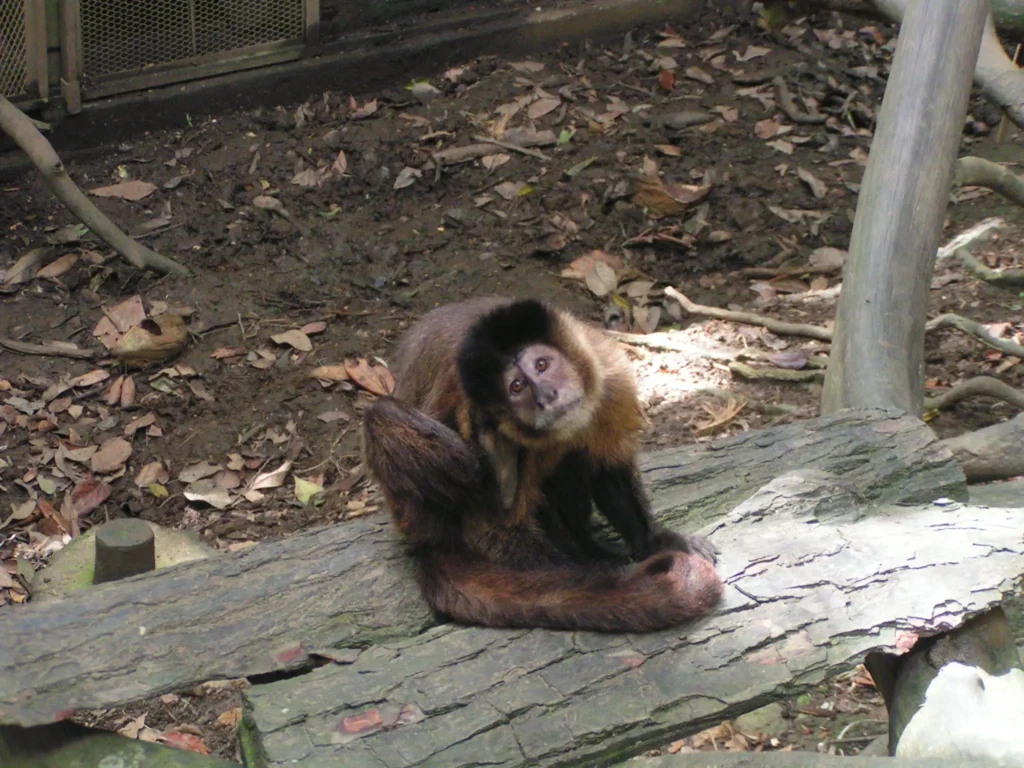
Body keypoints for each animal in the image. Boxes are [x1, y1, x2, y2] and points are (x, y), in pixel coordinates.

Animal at [361, 297, 723, 632]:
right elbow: (496, 531)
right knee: (380, 414)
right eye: (517, 387)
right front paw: (592, 576)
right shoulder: (478, 413)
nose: (546, 395)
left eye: (542, 365)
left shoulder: (608, 375)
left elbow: (609, 467)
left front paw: (653, 541)